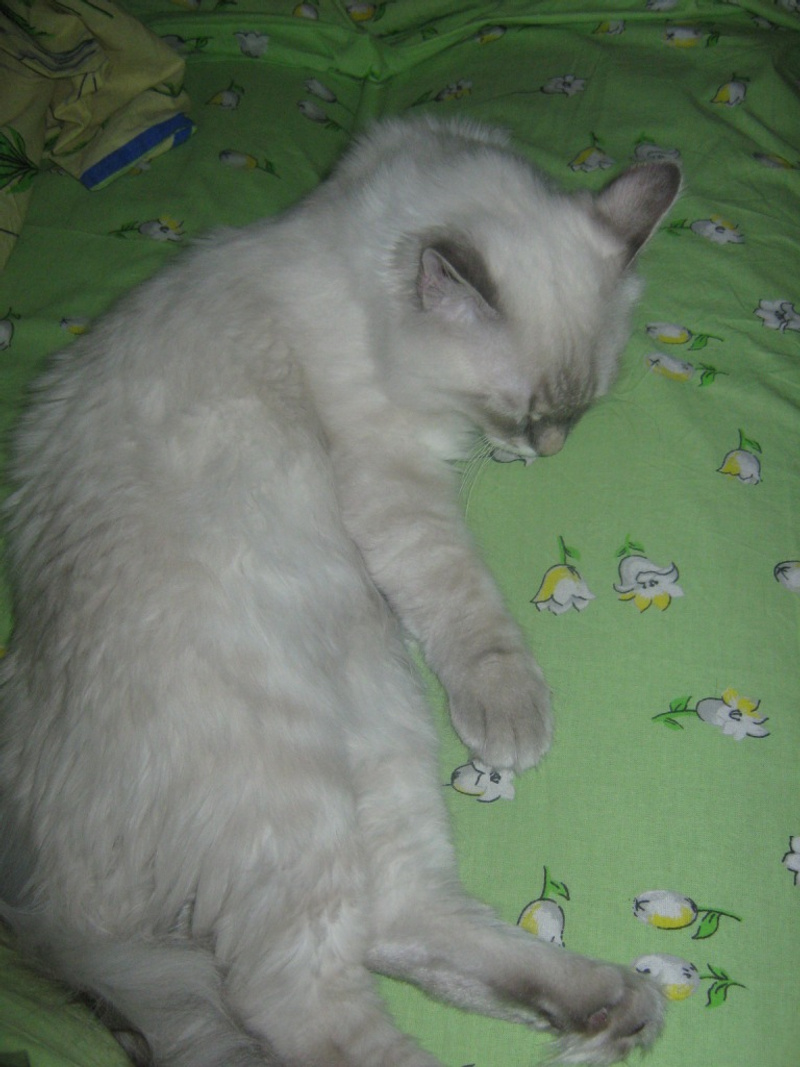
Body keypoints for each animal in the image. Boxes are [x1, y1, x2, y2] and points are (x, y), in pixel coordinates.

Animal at [0, 116, 680, 1067]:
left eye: (577, 410)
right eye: (520, 412)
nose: (545, 449)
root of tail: (41, 894)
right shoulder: (391, 477)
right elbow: (467, 599)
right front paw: (516, 714)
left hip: (382, 720)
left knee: (399, 920)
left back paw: (613, 1004)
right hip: (294, 780)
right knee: (303, 1003)